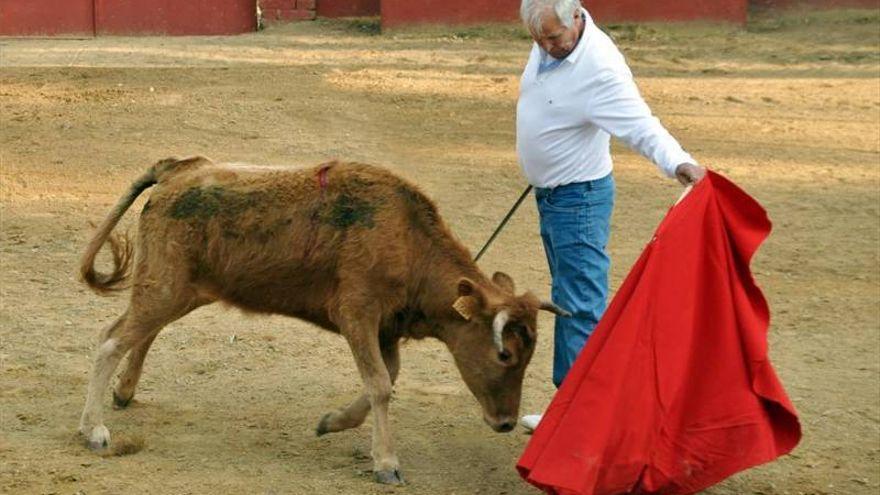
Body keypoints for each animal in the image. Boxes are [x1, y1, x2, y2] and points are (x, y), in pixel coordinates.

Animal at [79, 157, 568, 486]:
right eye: (504, 354)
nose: (506, 423)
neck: (408, 241)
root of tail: (177, 169)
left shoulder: (385, 329)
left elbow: (385, 378)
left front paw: (332, 422)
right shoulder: (358, 314)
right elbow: (380, 384)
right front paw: (386, 463)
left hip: (181, 290)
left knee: (141, 333)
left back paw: (124, 393)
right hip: (165, 286)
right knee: (111, 339)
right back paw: (94, 429)